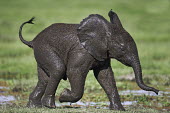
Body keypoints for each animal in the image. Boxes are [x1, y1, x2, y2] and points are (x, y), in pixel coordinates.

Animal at [19, 9, 159, 110]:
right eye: (122, 49)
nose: (157, 91)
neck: (104, 32)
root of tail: (33, 41)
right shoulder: (81, 52)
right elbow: (74, 71)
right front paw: (63, 94)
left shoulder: (102, 53)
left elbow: (105, 76)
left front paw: (119, 110)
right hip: (45, 49)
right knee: (58, 70)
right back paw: (50, 106)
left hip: (41, 53)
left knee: (44, 79)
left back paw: (34, 107)